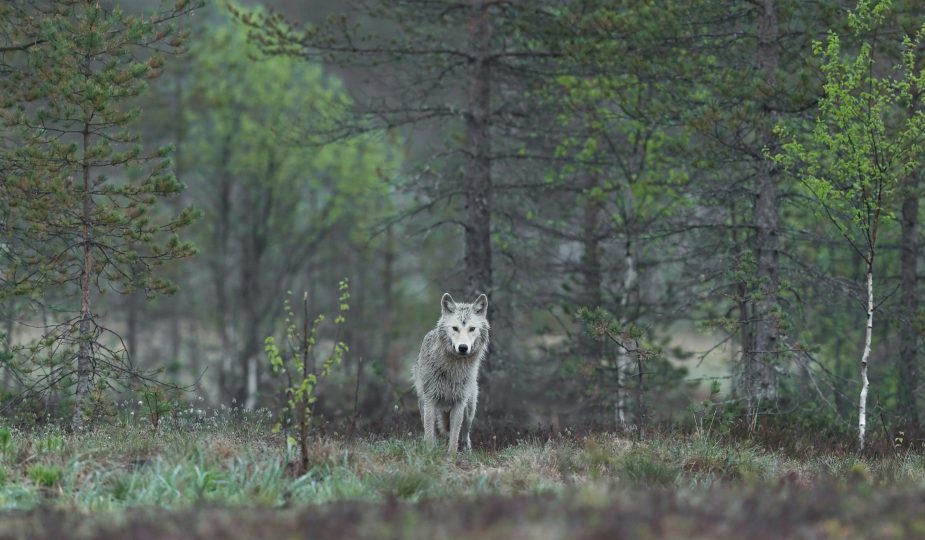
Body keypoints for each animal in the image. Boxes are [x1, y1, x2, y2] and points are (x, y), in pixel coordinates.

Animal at [412, 292, 490, 454]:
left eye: (472, 329)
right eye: (455, 328)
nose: (463, 347)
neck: (452, 369)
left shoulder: (459, 403)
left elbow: (454, 436)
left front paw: (451, 456)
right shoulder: (430, 401)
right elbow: (430, 435)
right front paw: (429, 453)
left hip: (469, 410)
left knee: (465, 434)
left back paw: (466, 451)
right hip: (424, 405)